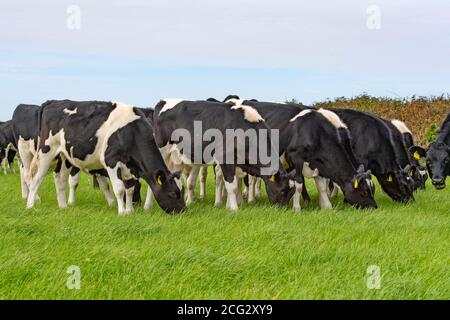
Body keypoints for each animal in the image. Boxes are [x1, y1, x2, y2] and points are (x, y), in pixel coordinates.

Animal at [25, 100, 185, 215]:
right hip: (46, 151)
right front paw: (122, 213)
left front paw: (130, 211)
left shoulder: (130, 166)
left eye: (181, 191)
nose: (183, 211)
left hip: (65, 156)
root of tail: (52, 102)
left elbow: (129, 189)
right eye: (172, 193)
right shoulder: (111, 161)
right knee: (36, 178)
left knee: (60, 180)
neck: (131, 132)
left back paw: (63, 206)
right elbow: (119, 188)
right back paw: (30, 206)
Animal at [153, 99, 298, 211]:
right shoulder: (225, 158)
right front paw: (234, 208)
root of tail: (162, 101)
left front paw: (228, 205)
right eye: (283, 190)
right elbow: (232, 186)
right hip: (163, 150)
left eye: (291, 192)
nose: (283, 209)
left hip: (177, 158)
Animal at [234, 100, 378, 210]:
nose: (374, 207)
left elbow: (321, 186)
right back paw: (249, 199)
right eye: (364, 192)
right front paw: (297, 208)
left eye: (373, 189)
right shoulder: (295, 158)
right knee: (250, 179)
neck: (314, 131)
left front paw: (327, 207)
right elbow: (298, 184)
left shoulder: (319, 162)